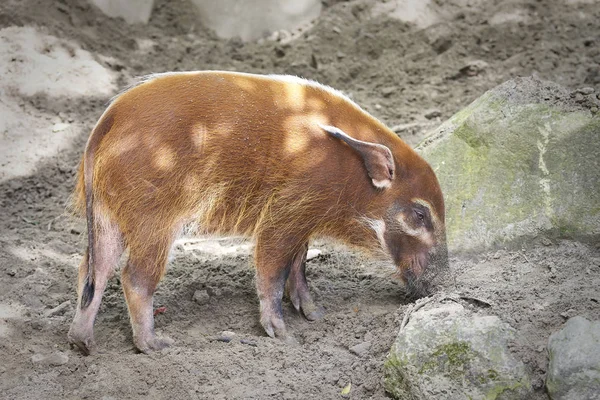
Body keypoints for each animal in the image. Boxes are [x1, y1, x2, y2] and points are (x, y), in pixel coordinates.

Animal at [68, 71, 448, 354]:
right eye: (420, 215)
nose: (441, 282)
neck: (347, 172)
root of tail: (106, 121)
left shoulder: (303, 221)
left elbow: (299, 266)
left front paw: (315, 314)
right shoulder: (283, 215)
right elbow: (273, 271)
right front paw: (282, 333)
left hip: (108, 215)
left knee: (93, 269)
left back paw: (82, 342)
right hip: (153, 218)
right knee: (132, 277)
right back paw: (155, 344)